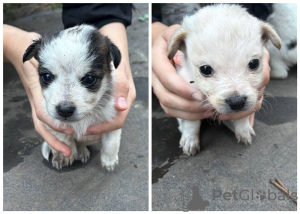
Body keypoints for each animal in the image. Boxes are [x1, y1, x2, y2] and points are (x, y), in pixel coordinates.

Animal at [22, 23, 122, 171]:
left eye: (89, 79)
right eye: (47, 76)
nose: (64, 110)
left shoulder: (112, 119)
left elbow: (112, 143)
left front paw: (109, 161)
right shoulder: (50, 120)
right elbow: (62, 138)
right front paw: (64, 155)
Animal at [166, 4, 282, 155]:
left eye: (254, 63)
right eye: (205, 69)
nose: (237, 102)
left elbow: (242, 116)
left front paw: (243, 129)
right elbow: (191, 122)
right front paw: (190, 140)